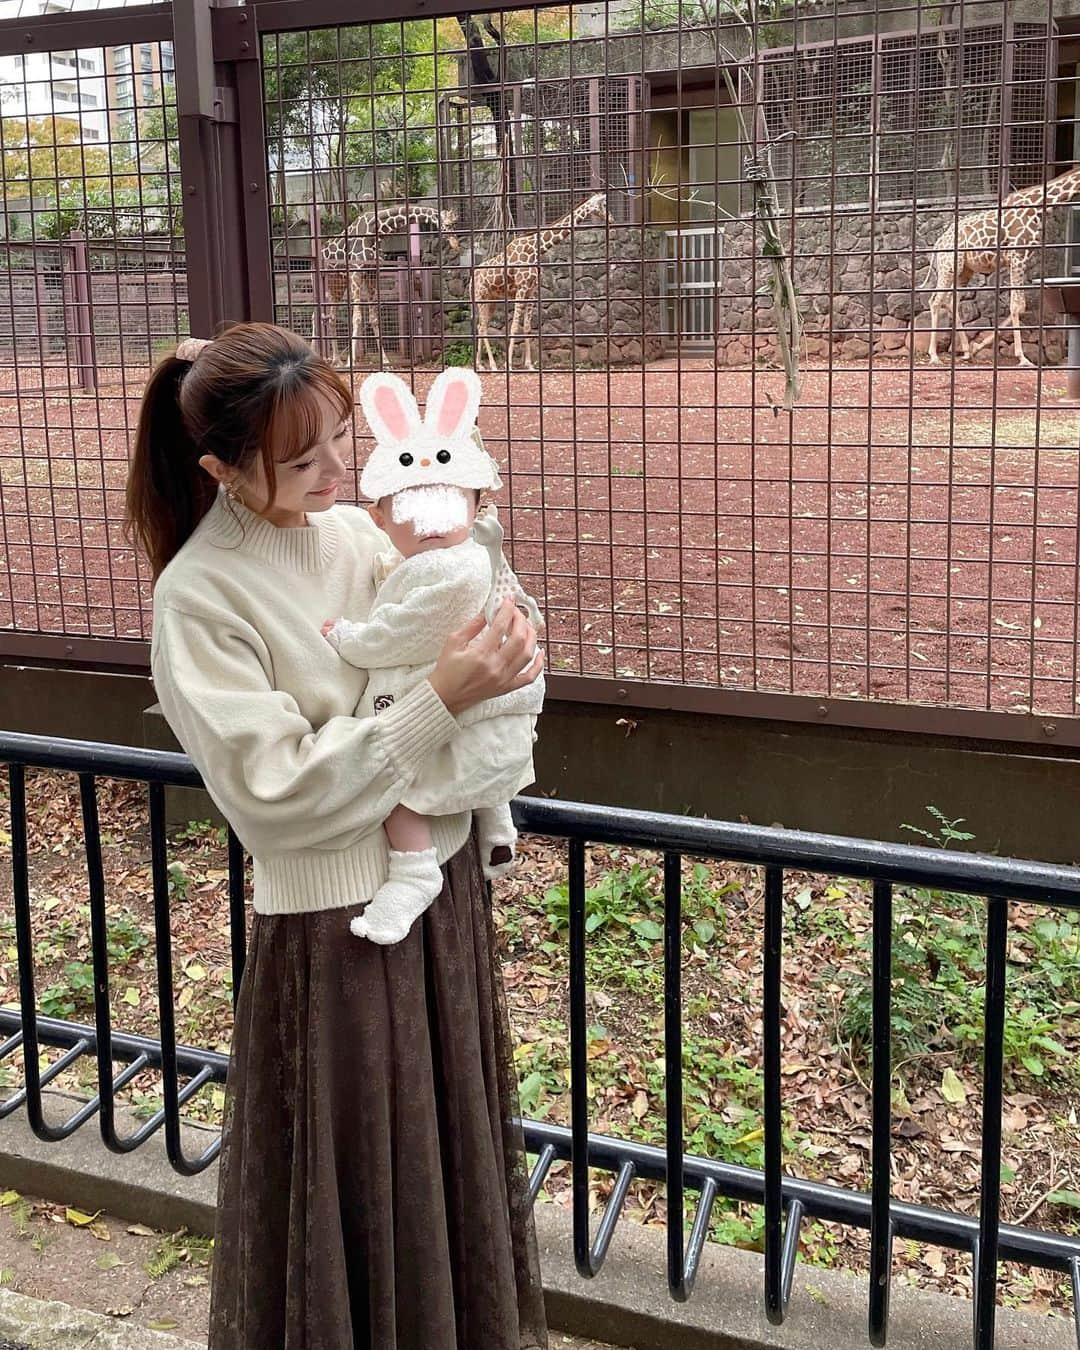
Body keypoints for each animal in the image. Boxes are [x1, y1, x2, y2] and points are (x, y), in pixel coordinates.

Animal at [315, 203, 459, 369]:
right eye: (447, 224)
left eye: (455, 224)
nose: (456, 244)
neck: (375, 230)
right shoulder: (356, 272)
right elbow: (357, 318)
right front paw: (350, 362)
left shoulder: (372, 274)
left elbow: (374, 319)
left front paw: (386, 362)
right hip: (325, 281)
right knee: (316, 315)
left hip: (338, 283)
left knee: (330, 317)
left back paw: (336, 360)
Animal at [475, 189, 615, 369]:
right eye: (604, 204)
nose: (612, 219)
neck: (535, 249)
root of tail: (472, 276)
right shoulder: (521, 288)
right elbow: (514, 327)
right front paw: (509, 365)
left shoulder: (532, 290)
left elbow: (527, 327)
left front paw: (529, 365)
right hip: (481, 297)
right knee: (483, 328)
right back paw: (492, 365)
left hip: (492, 300)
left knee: (481, 326)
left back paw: (479, 364)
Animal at [923, 168, 1080, 369]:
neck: (1037, 208)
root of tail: (938, 242)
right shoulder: (1017, 257)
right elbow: (1017, 306)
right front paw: (1023, 358)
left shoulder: (1022, 260)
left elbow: (1020, 305)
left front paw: (977, 348)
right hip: (949, 266)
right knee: (935, 300)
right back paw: (934, 355)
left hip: (965, 270)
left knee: (951, 301)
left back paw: (966, 352)